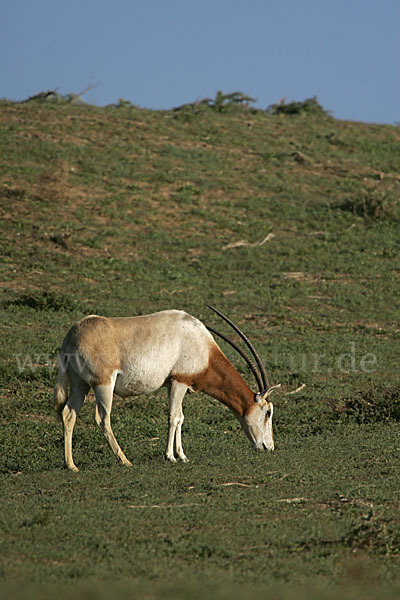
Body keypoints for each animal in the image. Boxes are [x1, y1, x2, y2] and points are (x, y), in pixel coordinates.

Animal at [53, 308, 280, 472]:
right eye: (268, 412)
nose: (268, 447)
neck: (202, 346)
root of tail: (71, 337)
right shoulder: (179, 381)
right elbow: (173, 417)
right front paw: (170, 456)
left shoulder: (175, 384)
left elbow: (180, 418)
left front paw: (182, 456)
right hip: (103, 384)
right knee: (102, 418)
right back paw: (124, 460)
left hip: (80, 385)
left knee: (68, 415)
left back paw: (71, 465)